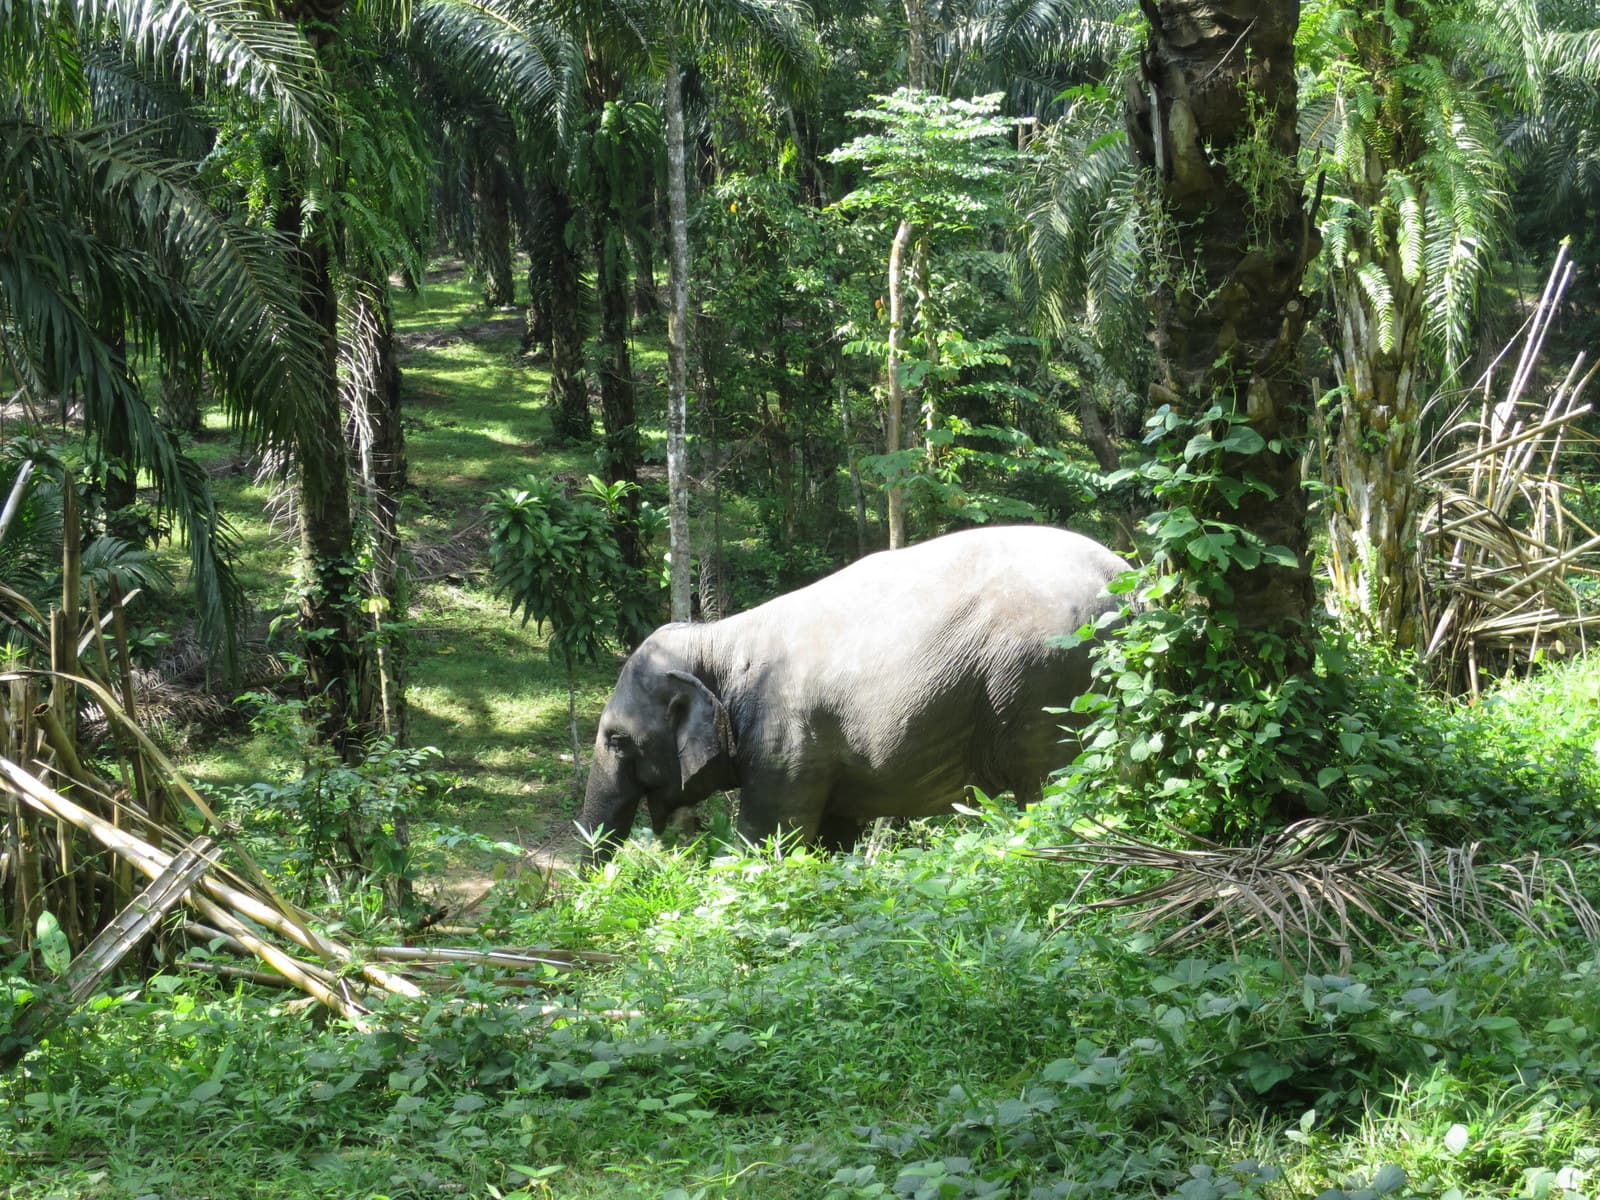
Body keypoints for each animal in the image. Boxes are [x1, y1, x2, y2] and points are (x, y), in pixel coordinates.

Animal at [576, 524, 1126, 864]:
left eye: (617, 740)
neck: (716, 640)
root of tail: (1125, 577)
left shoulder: (785, 741)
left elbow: (769, 838)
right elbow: (832, 839)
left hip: (1046, 682)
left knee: (1053, 789)